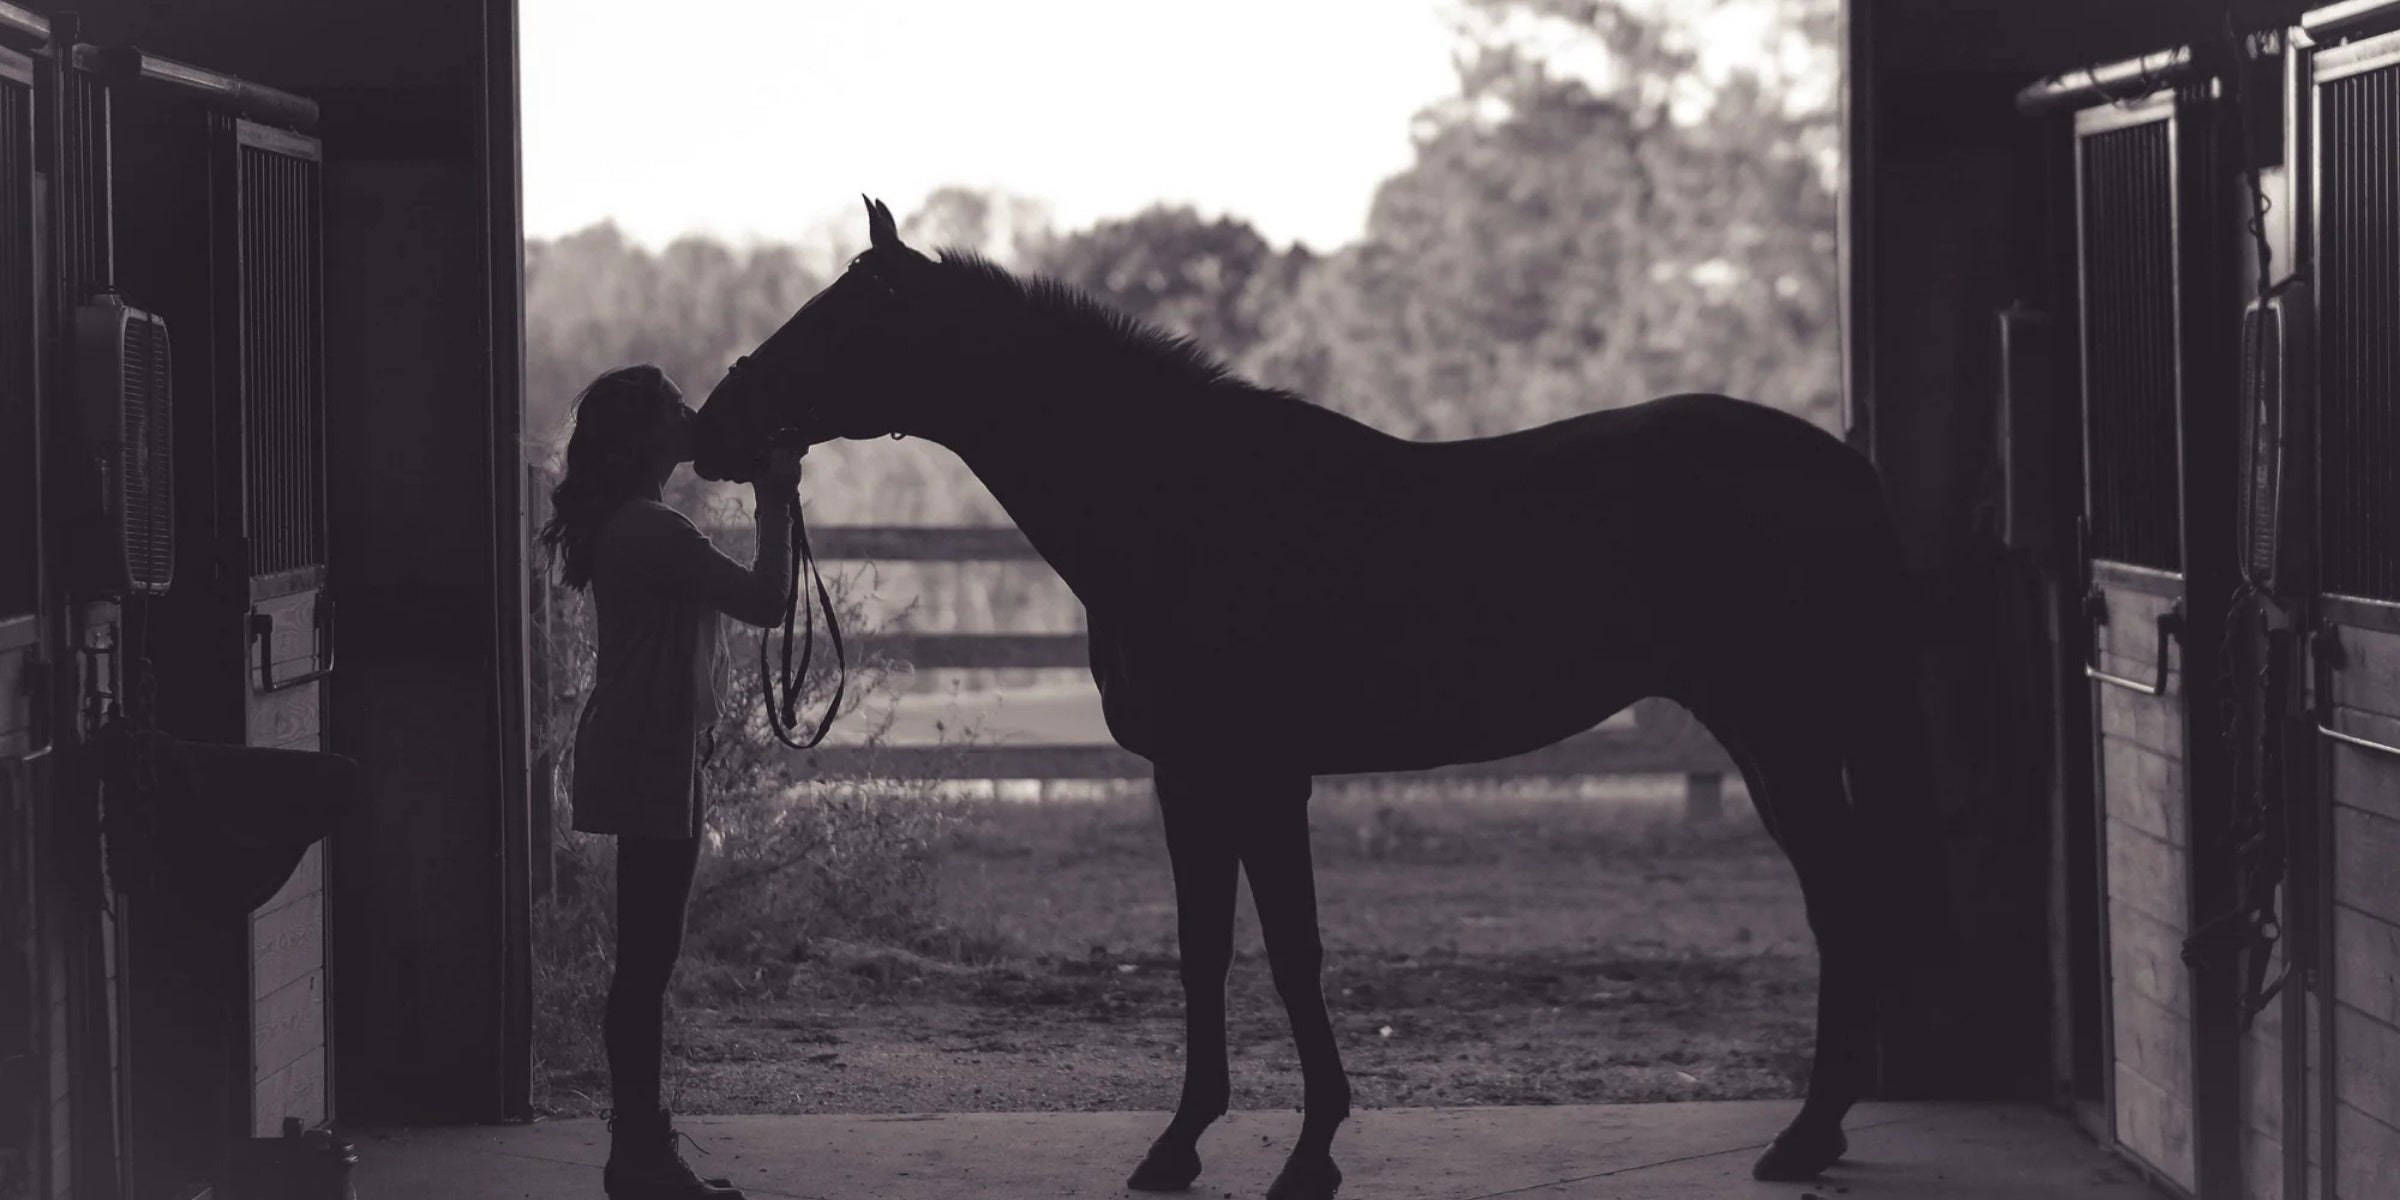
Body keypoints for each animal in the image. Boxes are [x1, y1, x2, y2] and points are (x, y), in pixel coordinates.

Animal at [690, 197, 1946, 1198]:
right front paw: (1179, 1146)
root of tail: (1842, 466)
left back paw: (1805, 1138)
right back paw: (1816, 1135)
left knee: (1844, 903)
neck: (1182, 504)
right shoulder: (1188, 777)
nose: (712, 429)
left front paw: (1310, 1153)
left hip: (1782, 732)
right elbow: (1205, 949)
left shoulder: (1261, 774)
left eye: (837, 322)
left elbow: (1293, 950)